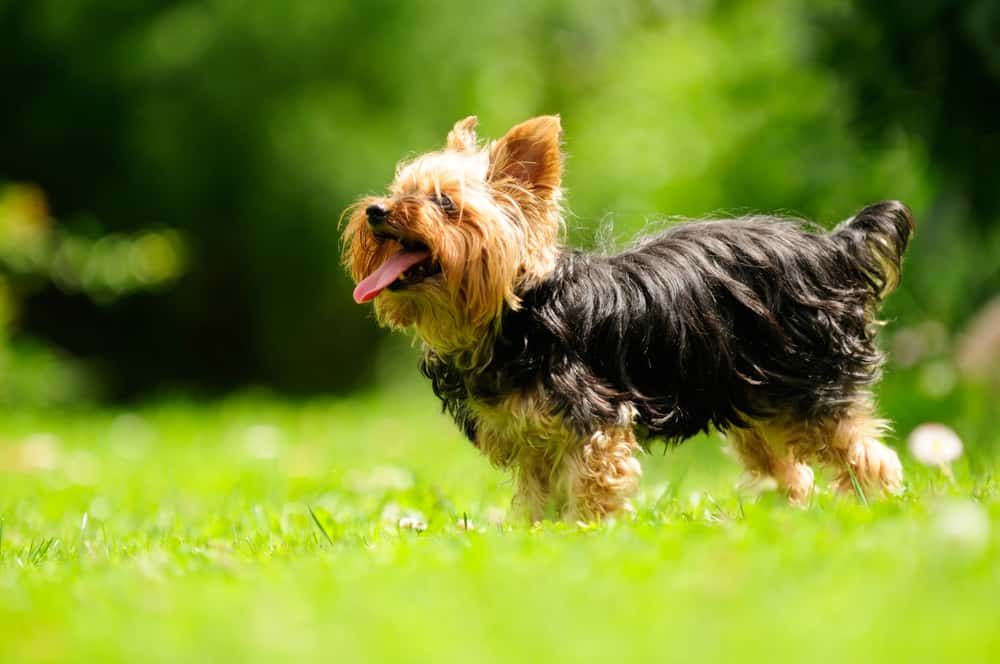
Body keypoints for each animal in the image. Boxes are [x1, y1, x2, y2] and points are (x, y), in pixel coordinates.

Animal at [346, 116, 916, 520]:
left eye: (444, 203)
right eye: (398, 192)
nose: (376, 210)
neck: (514, 314)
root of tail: (831, 248)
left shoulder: (595, 422)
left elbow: (592, 491)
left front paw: (584, 535)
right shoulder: (532, 441)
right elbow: (536, 502)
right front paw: (535, 540)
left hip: (809, 388)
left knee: (869, 456)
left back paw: (880, 511)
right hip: (753, 400)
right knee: (790, 473)